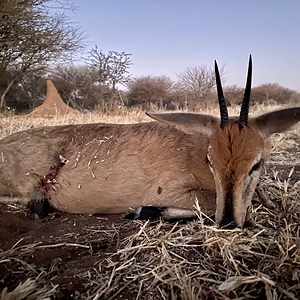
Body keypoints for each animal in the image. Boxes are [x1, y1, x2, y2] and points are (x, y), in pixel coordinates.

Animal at [0, 55, 298, 227]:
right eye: (210, 161)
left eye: (256, 164)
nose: (227, 222)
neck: (191, 149)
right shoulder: (174, 191)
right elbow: (213, 202)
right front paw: (145, 211)